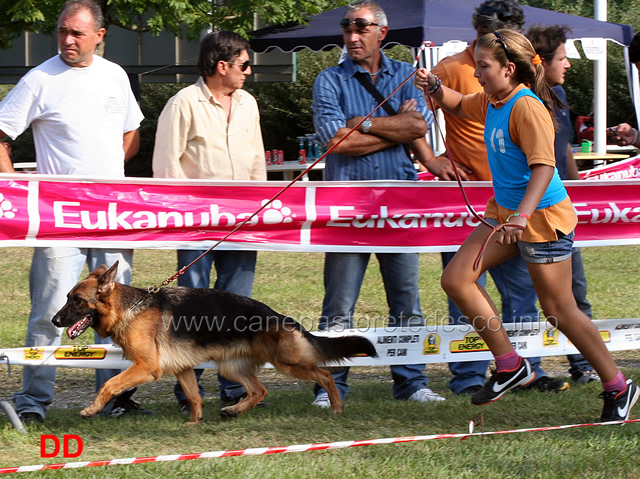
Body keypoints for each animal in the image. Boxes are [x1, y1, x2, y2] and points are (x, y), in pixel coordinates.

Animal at [53, 262, 380, 424]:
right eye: (67, 297)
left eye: (77, 300)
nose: (55, 320)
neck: (130, 308)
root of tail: (279, 316)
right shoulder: (182, 369)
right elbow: (194, 397)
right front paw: (194, 423)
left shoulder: (146, 367)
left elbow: (110, 385)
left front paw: (91, 410)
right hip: (231, 368)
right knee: (260, 390)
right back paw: (234, 411)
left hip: (288, 363)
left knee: (324, 374)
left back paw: (336, 408)